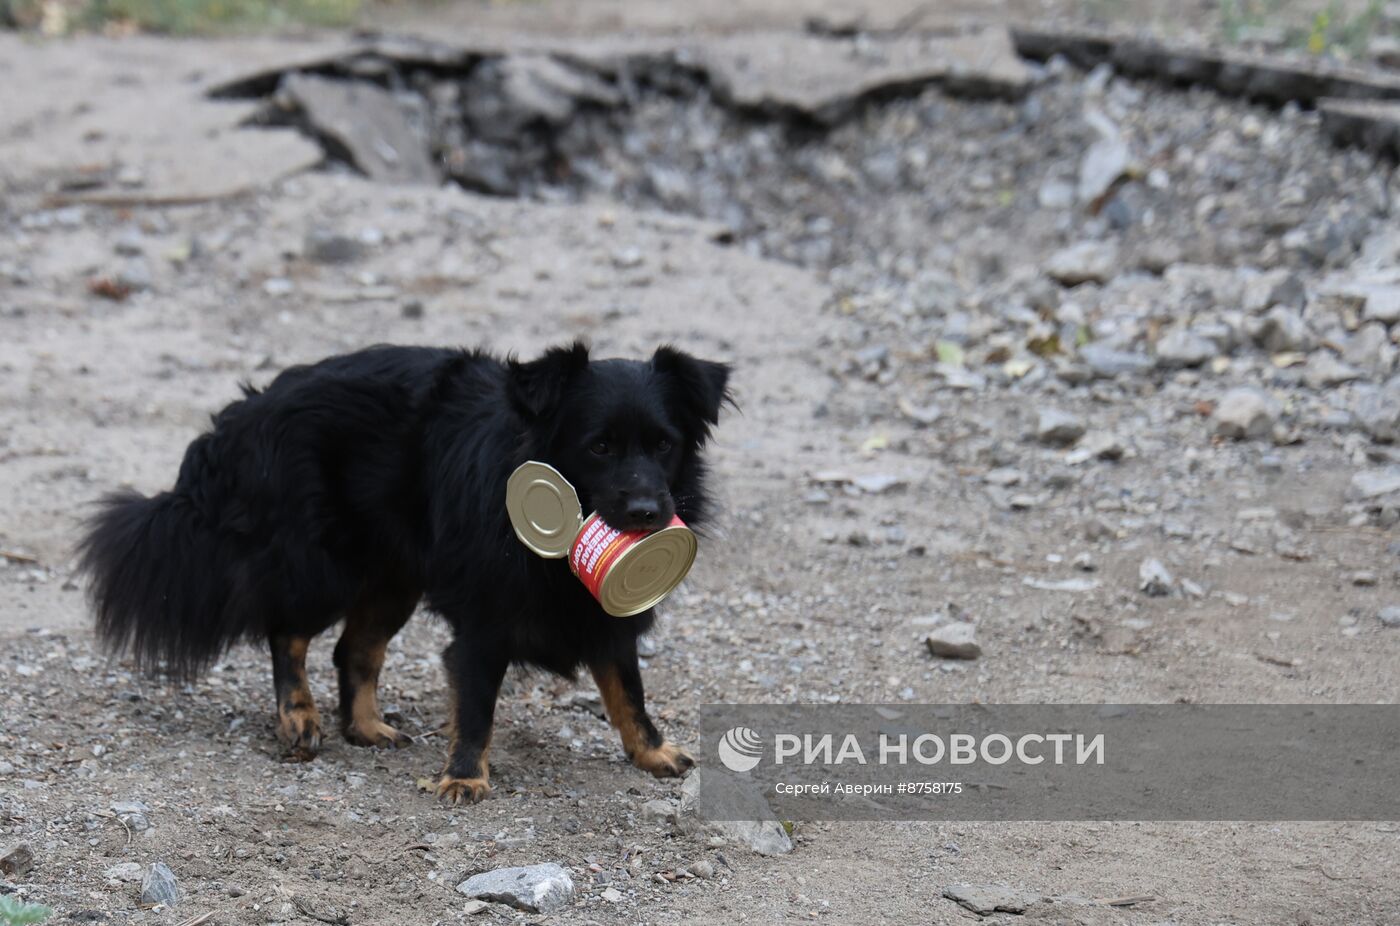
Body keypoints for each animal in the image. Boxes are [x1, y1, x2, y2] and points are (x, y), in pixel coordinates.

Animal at [79, 341, 733, 801]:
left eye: (664, 445)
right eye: (599, 447)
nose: (647, 512)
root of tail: (248, 408)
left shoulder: (607, 620)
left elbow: (629, 693)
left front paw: (653, 752)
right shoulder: (483, 630)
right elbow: (477, 710)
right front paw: (464, 777)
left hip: (394, 580)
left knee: (354, 649)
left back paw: (366, 727)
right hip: (323, 568)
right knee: (286, 632)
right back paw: (299, 717)